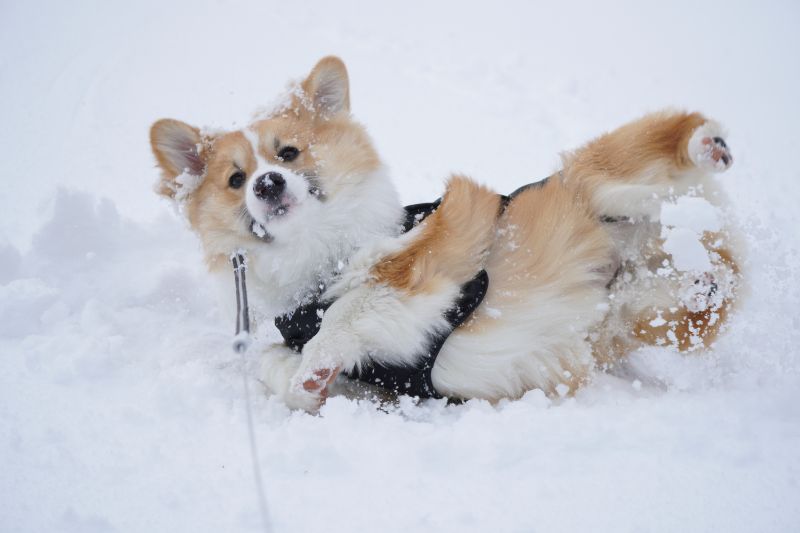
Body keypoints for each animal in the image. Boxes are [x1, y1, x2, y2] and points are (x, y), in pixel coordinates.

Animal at [150, 55, 736, 412]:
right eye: (235, 180)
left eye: (288, 153)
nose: (267, 183)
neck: (319, 260)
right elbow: (279, 369)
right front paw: (306, 381)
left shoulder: (436, 252)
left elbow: (352, 306)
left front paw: (317, 355)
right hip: (648, 312)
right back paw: (700, 279)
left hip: (600, 179)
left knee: (664, 149)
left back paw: (708, 147)